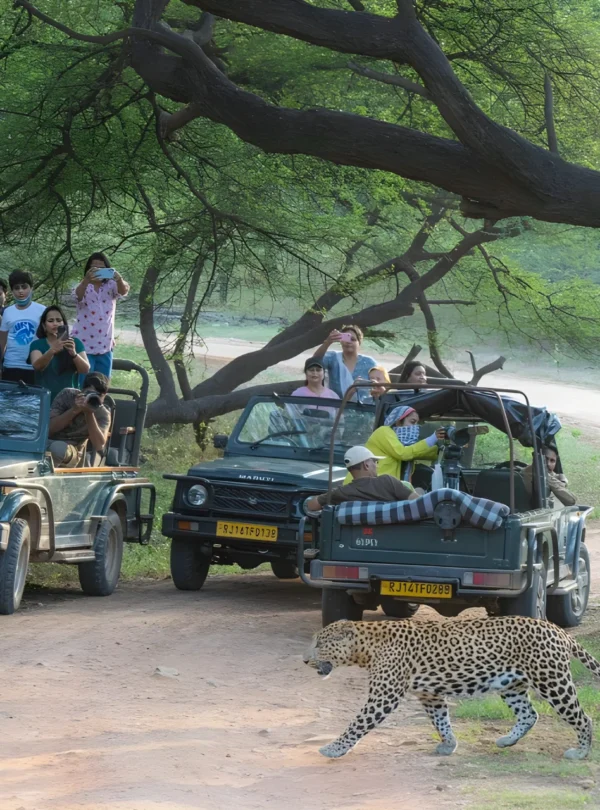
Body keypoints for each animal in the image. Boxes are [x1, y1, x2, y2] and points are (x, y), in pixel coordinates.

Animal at [303, 616, 600, 760]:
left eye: (319, 643)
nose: (305, 660)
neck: (366, 647)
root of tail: (558, 630)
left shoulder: (383, 696)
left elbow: (357, 724)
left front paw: (333, 749)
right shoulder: (430, 695)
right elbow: (441, 721)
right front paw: (449, 745)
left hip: (552, 681)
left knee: (583, 718)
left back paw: (581, 753)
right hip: (511, 685)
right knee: (529, 714)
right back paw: (507, 740)